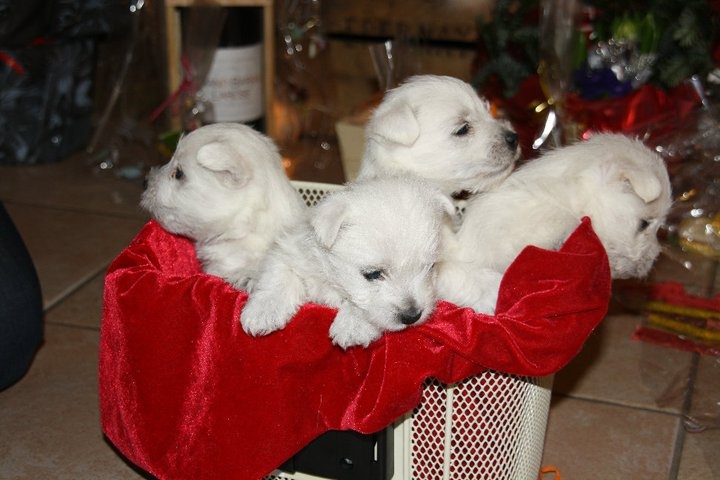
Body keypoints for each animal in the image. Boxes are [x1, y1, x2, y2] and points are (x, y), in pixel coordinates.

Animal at [242, 176, 456, 348]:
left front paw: (353, 326)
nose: (412, 316)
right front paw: (262, 312)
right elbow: (277, 276)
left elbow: (359, 305)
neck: (332, 278)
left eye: (430, 267)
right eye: (373, 274)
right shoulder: (288, 251)